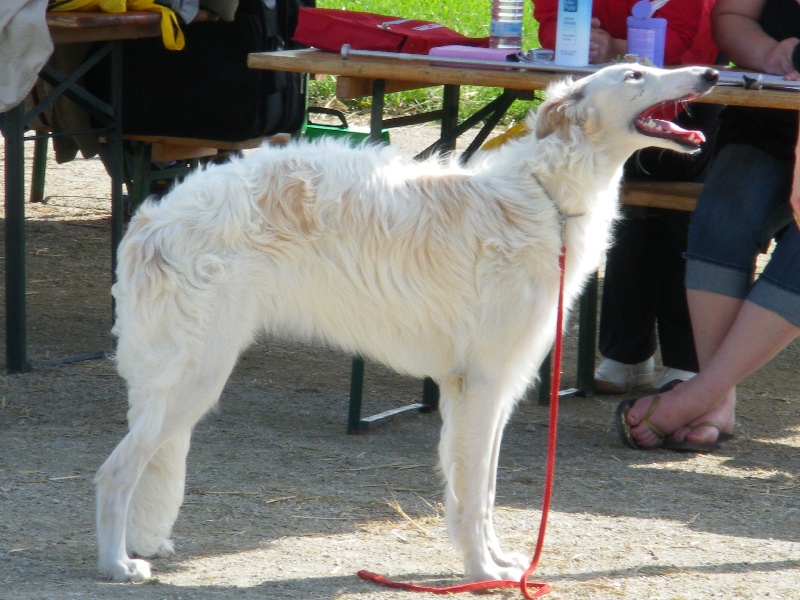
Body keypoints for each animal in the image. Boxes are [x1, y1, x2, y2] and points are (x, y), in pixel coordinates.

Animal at [95, 64, 720, 580]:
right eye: (635, 74)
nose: (713, 74)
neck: (545, 200)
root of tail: (149, 221)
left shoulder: (494, 387)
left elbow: (483, 492)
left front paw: (499, 563)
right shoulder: (481, 384)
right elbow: (472, 494)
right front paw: (481, 572)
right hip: (195, 376)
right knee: (114, 472)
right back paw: (118, 564)